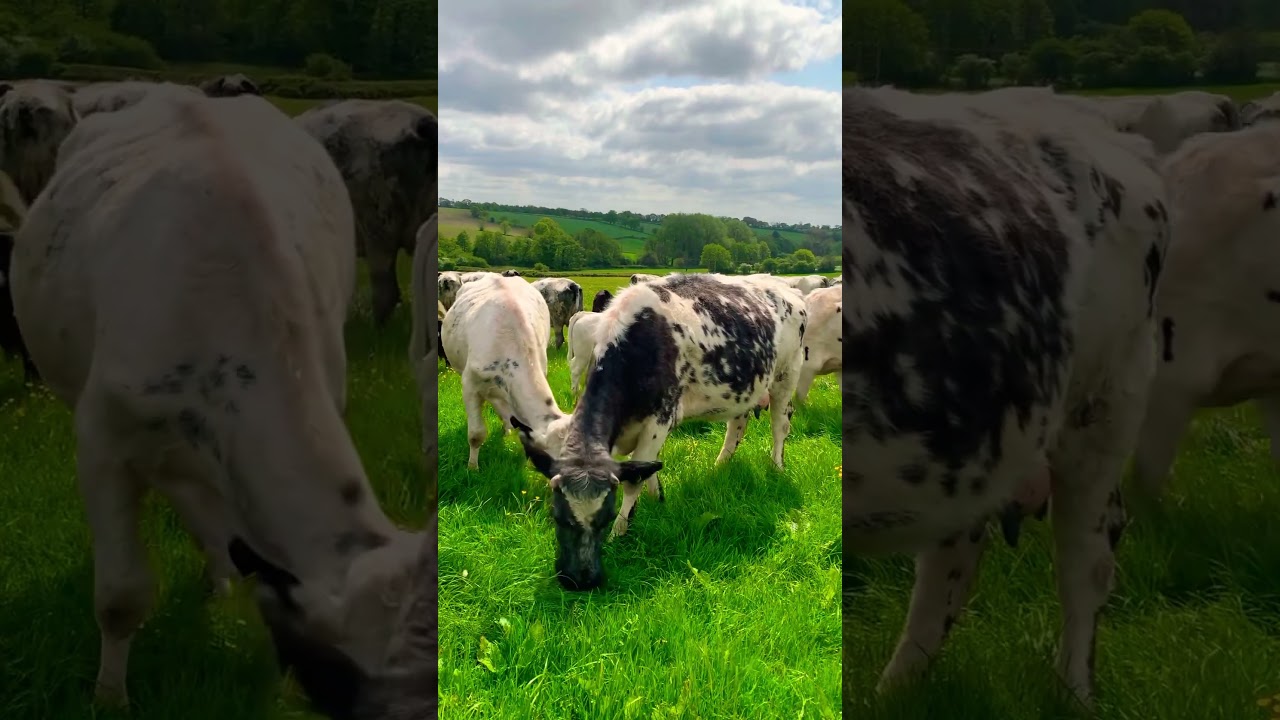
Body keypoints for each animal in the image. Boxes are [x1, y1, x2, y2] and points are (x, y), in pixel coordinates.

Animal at [511, 272, 808, 591]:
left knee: (779, 425)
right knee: (736, 427)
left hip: (786, 375)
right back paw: (720, 466)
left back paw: (777, 466)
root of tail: (786, 289)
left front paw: (620, 531)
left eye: (605, 516)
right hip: (744, 388)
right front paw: (658, 499)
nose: (579, 581)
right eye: (557, 514)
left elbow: (634, 481)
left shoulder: (660, 420)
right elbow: (646, 467)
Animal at [842, 86, 1171, 709]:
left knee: (1086, 561)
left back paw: (1075, 695)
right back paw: (893, 693)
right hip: (976, 437)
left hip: (1105, 403)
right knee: (951, 559)